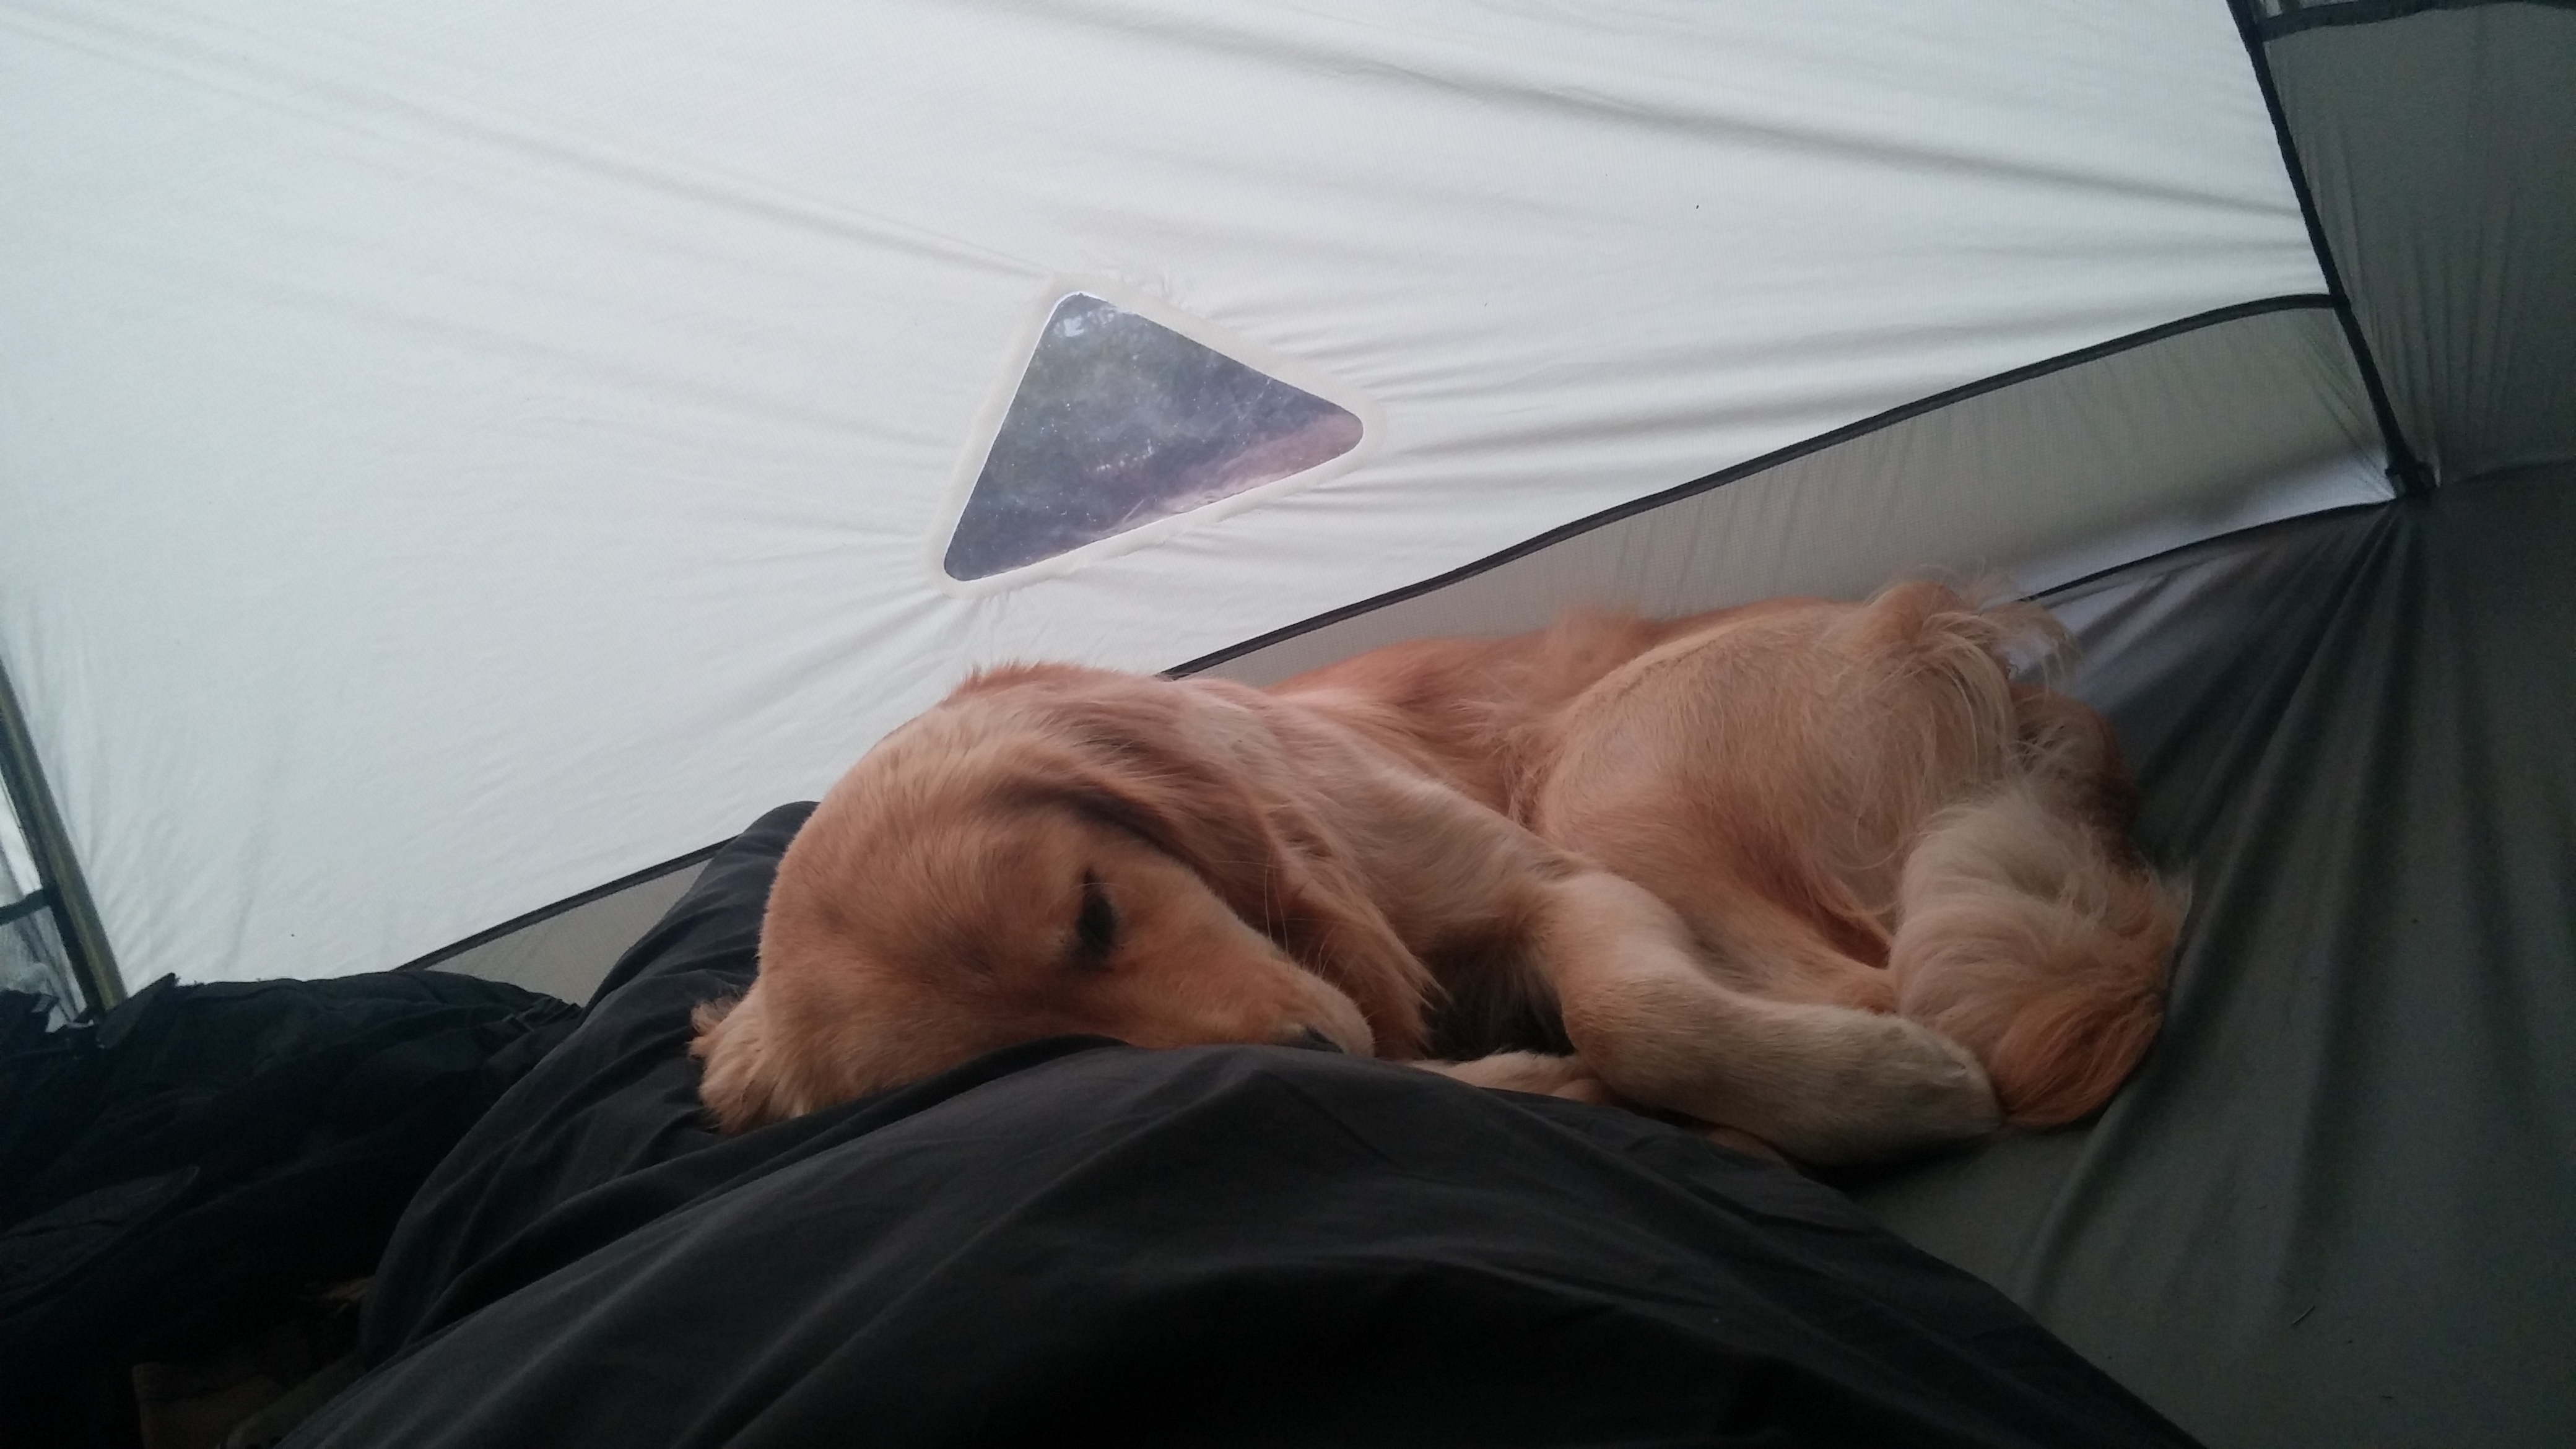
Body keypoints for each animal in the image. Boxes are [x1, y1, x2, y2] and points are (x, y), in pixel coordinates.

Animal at [695, 580, 2184, 1155]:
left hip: (1607, 773)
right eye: (1044, 1069)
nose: (1306, 1058)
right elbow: (1467, 1069)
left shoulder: (1554, 883)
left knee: (1868, 983)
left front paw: (1887, 1095)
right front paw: (1542, 1085)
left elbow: (1635, 1012)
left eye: (1095, 912)